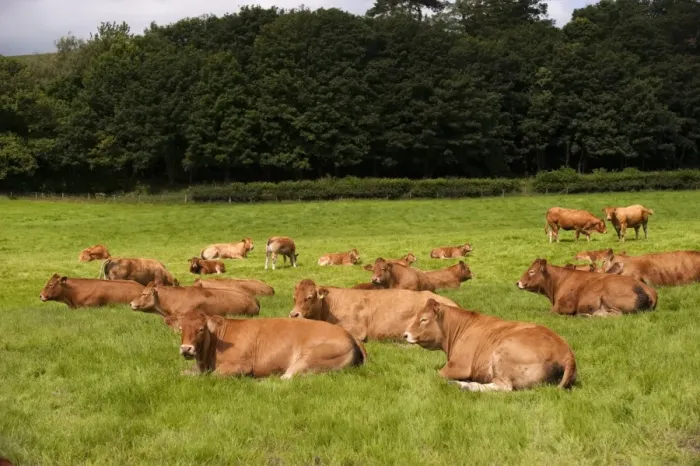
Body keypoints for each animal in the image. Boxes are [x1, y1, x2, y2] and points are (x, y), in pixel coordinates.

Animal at [166, 309, 366, 379]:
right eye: (181, 328)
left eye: (201, 328)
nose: (186, 349)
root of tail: (348, 334)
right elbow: (183, 373)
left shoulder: (240, 365)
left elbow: (213, 376)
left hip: (309, 358)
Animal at [404, 299, 577, 392]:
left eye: (424, 319)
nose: (405, 334)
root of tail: (566, 352)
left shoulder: (458, 365)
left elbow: (436, 375)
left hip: (502, 353)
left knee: (504, 387)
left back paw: (465, 386)